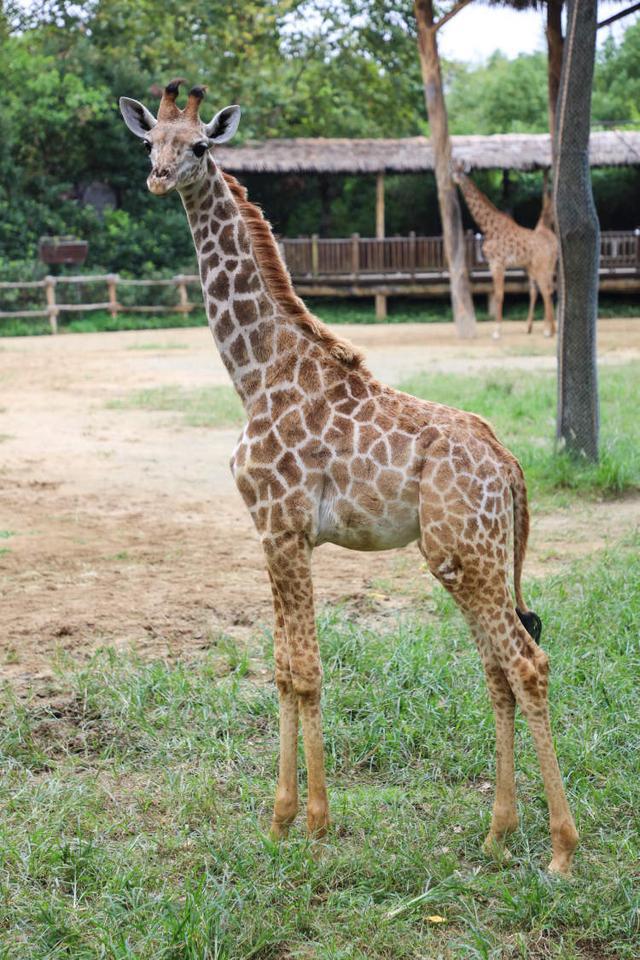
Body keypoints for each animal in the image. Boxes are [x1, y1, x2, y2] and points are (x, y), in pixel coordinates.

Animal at [450, 165, 560, 342]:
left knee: (545, 290)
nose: (450, 180)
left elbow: (499, 294)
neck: (488, 228)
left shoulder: (498, 263)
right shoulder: (492, 264)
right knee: (545, 290)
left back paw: (548, 331)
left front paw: (496, 332)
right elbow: (499, 293)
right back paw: (548, 328)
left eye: (455, 171)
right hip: (540, 267)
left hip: (541, 266)